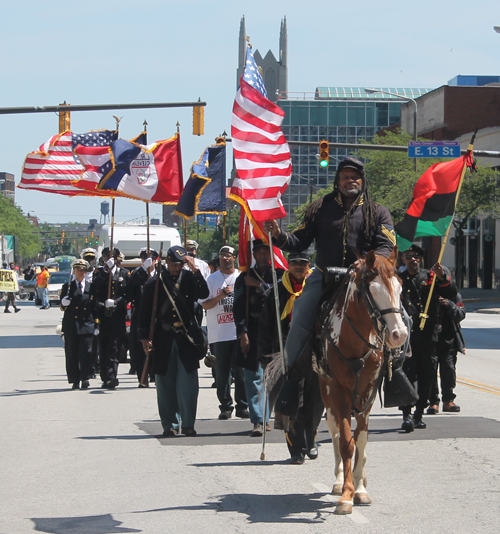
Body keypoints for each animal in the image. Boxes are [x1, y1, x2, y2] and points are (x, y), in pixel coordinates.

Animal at [316, 249, 406, 516]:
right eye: (373, 290)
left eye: (400, 287)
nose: (399, 335)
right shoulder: (338, 391)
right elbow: (347, 441)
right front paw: (346, 494)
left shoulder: (368, 390)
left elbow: (362, 439)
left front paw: (359, 488)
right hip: (325, 389)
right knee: (335, 430)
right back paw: (338, 481)